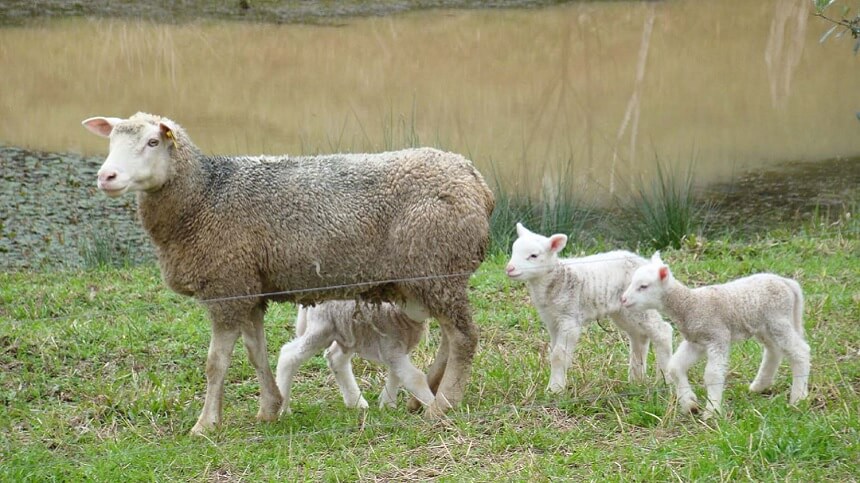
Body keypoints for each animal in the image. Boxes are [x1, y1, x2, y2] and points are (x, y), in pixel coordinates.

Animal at [278, 300, 436, 414]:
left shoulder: (396, 347)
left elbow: (397, 374)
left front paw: (387, 403)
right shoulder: (390, 346)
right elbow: (415, 377)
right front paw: (436, 408)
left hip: (348, 332)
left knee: (335, 358)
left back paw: (356, 402)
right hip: (323, 327)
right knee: (288, 355)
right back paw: (282, 410)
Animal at [508, 223, 676, 394]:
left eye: (533, 255)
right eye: (513, 251)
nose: (509, 268)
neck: (555, 280)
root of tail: (649, 265)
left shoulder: (569, 318)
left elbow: (559, 355)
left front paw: (555, 389)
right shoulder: (552, 321)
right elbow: (553, 352)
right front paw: (555, 385)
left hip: (641, 304)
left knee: (663, 331)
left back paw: (666, 381)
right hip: (624, 310)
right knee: (639, 336)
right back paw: (636, 381)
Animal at [620, 251, 808, 418]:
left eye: (643, 286)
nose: (623, 299)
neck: (689, 305)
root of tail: (787, 282)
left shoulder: (717, 336)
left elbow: (712, 374)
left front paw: (712, 411)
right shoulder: (696, 341)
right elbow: (674, 367)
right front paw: (690, 405)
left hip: (778, 320)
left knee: (800, 352)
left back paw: (798, 397)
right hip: (763, 325)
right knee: (774, 350)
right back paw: (759, 386)